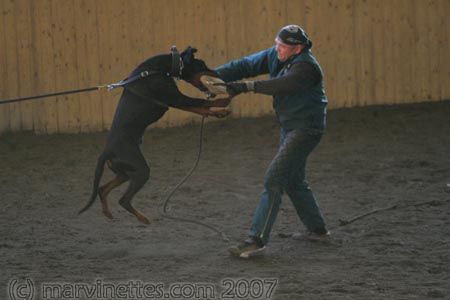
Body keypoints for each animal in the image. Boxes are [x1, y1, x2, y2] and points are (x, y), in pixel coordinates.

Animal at [78, 47, 230, 224]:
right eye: (202, 65)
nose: (218, 73)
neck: (158, 69)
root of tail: (105, 152)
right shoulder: (176, 99)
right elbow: (203, 103)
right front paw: (224, 102)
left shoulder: (175, 101)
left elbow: (200, 108)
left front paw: (220, 113)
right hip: (141, 170)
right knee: (123, 200)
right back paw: (144, 218)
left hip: (124, 172)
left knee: (102, 189)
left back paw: (108, 213)